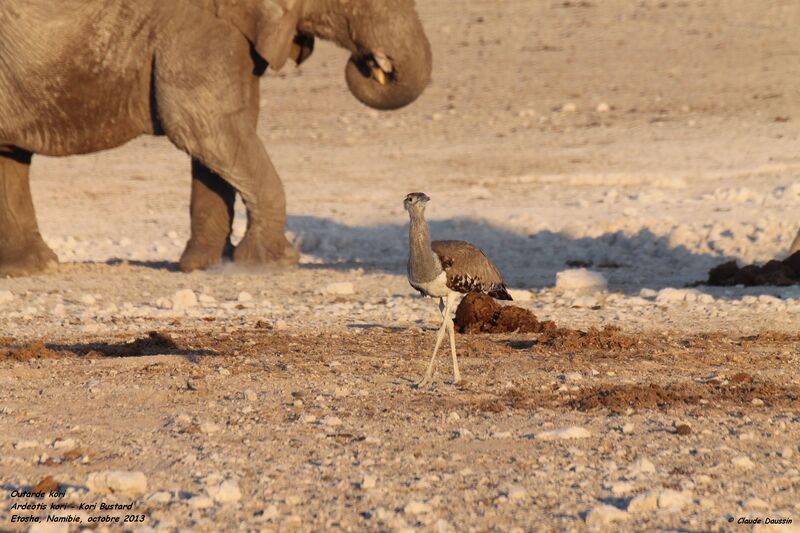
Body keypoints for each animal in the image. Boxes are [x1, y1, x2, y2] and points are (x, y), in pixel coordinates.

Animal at [0, 0, 432, 274]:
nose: (370, 63)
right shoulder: (194, 24)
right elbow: (206, 127)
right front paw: (273, 262)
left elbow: (225, 133)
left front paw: (207, 265)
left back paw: (33, 268)